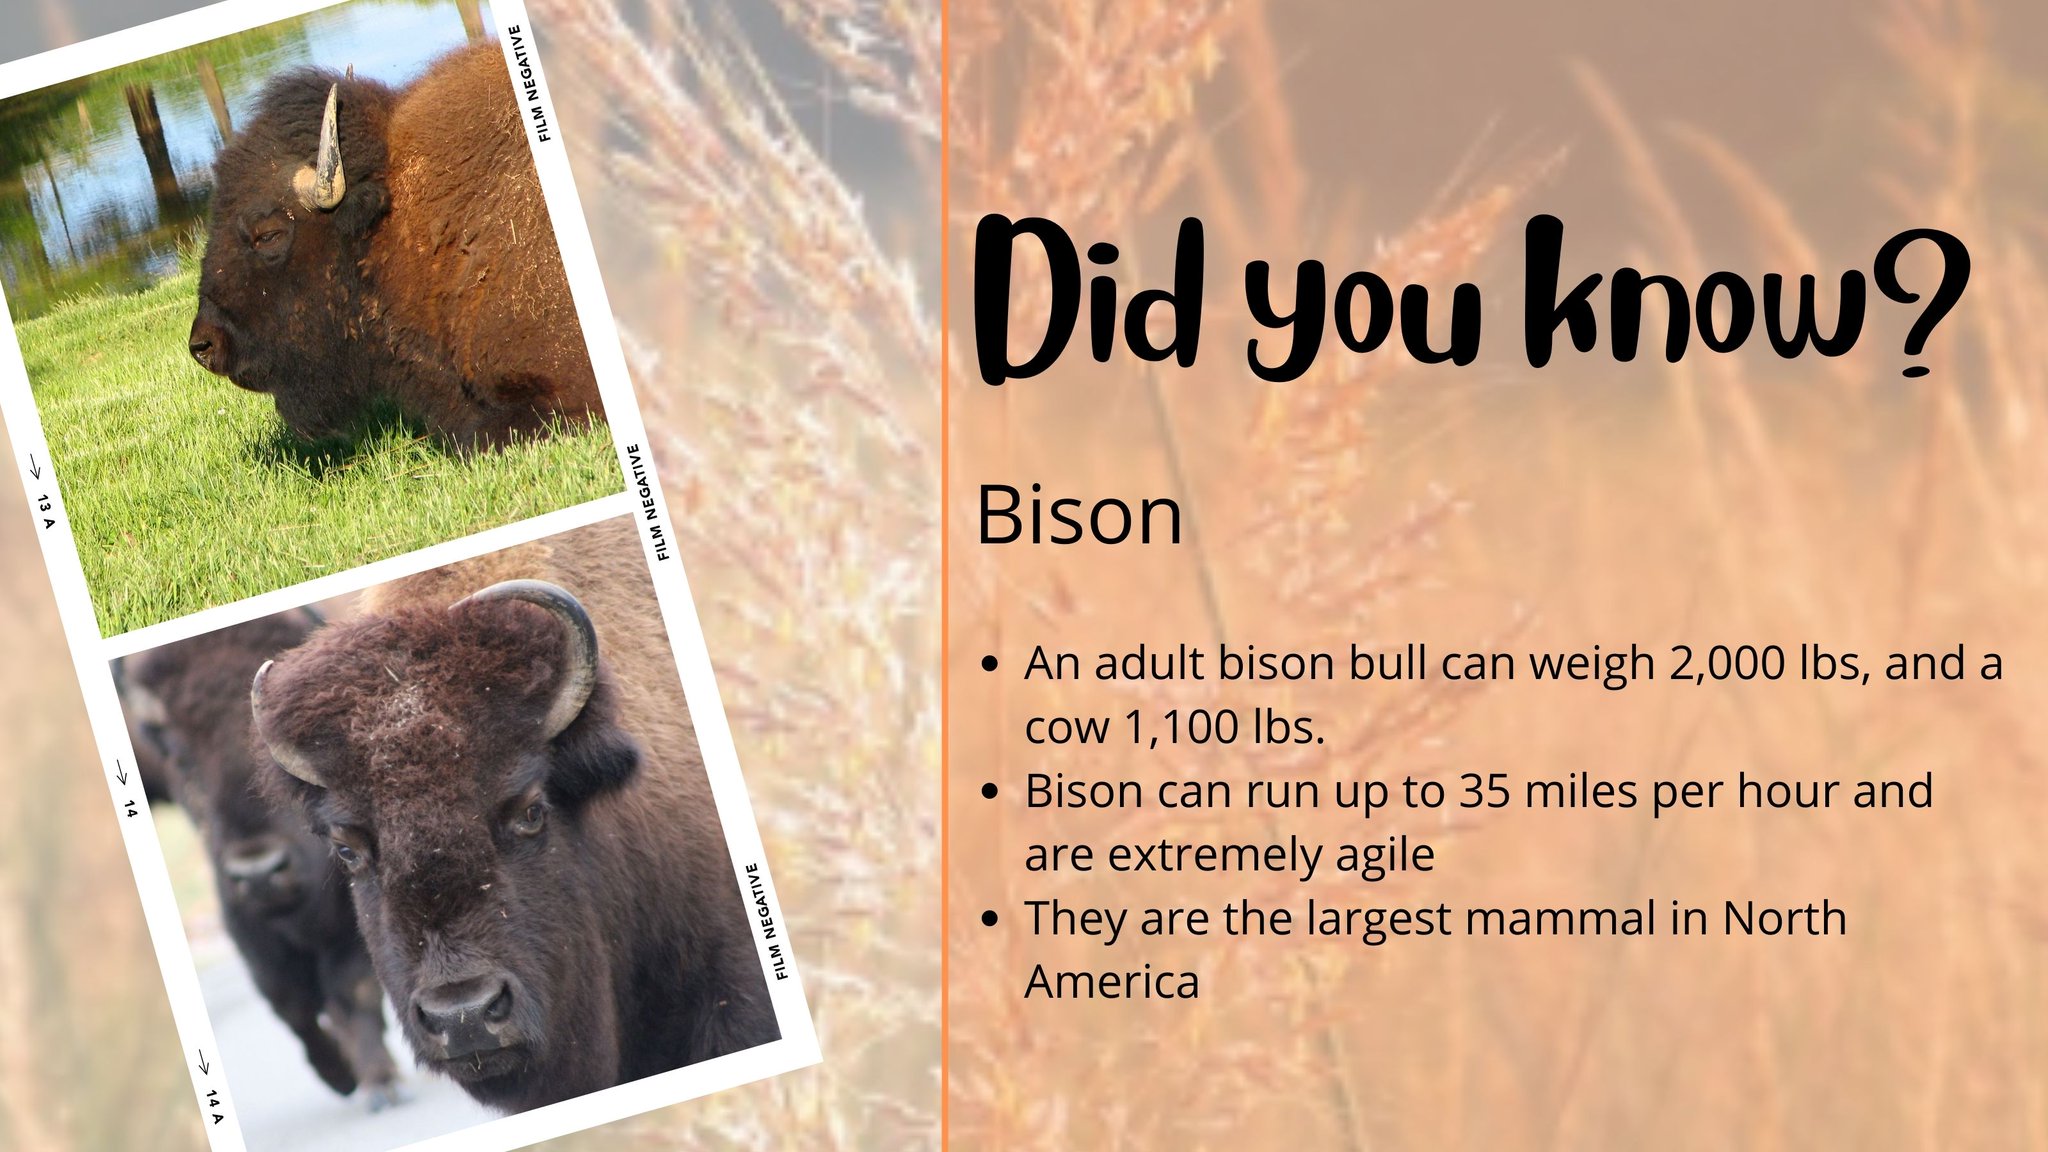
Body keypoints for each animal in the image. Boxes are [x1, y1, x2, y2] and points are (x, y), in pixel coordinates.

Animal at [119, 612, 403, 1109]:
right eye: (179, 755)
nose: (259, 872)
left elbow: (352, 986)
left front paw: (377, 1083)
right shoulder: (243, 919)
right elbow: (289, 1002)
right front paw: (340, 1077)